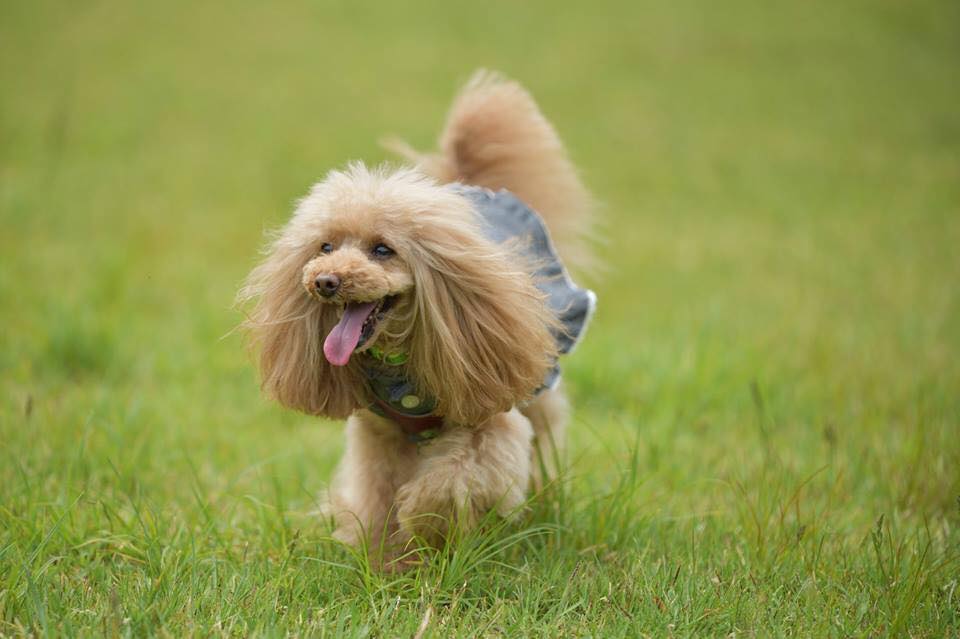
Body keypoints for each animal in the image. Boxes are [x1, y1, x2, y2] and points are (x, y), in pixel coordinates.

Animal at [240, 69, 596, 560]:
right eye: (325, 246)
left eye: (382, 250)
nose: (325, 281)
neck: (399, 364)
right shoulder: (378, 436)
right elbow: (377, 496)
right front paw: (382, 559)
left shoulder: (488, 420)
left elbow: (448, 483)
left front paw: (427, 529)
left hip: (536, 382)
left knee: (543, 436)